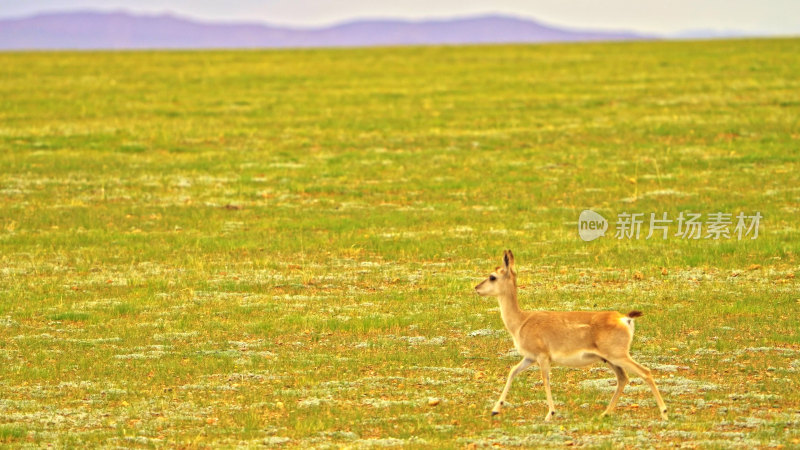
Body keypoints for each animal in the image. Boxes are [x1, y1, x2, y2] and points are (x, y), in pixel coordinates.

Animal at [476, 250, 668, 422]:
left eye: (492, 276)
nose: (476, 288)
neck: (522, 321)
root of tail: (625, 318)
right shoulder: (530, 357)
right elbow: (512, 372)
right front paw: (495, 410)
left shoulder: (542, 357)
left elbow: (545, 380)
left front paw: (550, 414)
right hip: (610, 359)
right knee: (623, 378)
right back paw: (605, 413)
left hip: (618, 356)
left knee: (645, 372)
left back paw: (664, 413)